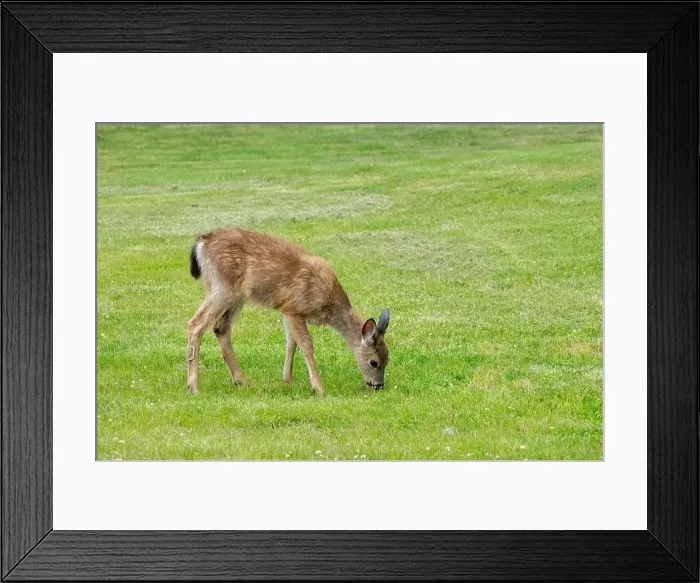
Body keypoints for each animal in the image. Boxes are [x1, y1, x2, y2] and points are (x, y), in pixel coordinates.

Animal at [187, 227, 390, 395]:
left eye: (388, 358)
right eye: (374, 362)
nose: (378, 385)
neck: (327, 304)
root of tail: (201, 243)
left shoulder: (286, 310)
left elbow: (291, 343)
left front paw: (287, 380)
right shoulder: (295, 307)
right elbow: (306, 344)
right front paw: (318, 387)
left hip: (235, 296)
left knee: (221, 328)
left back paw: (241, 380)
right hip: (223, 287)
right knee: (196, 324)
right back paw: (193, 387)